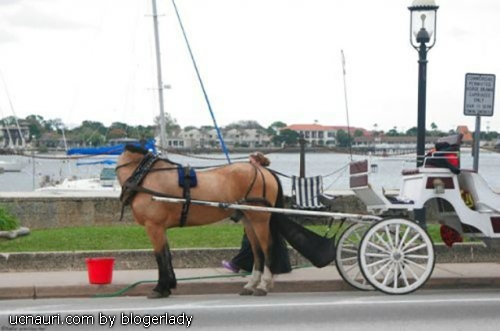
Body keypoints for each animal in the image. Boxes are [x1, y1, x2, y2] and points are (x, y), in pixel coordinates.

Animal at [116, 145, 336, 298]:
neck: (144, 175)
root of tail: (262, 170)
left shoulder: (154, 226)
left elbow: (160, 257)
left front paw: (160, 288)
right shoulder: (160, 228)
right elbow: (167, 256)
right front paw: (169, 286)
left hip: (259, 219)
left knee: (267, 248)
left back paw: (264, 285)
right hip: (249, 220)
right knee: (257, 251)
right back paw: (251, 284)